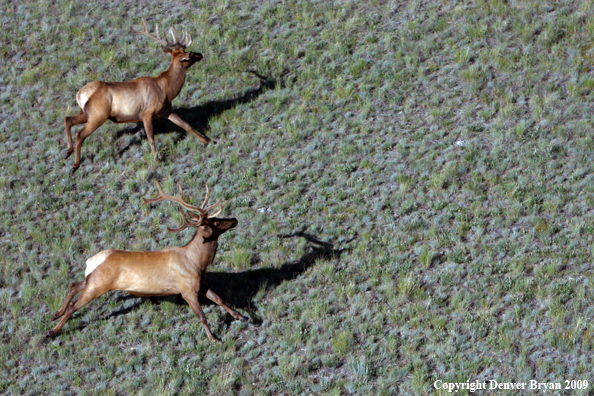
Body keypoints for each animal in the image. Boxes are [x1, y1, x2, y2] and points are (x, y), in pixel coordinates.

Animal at [46, 181, 247, 342]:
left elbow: (220, 299)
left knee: (74, 284)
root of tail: (90, 261)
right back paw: (52, 331)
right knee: (74, 305)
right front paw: (214, 338)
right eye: (216, 222)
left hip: (93, 281)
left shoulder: (200, 284)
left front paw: (241, 316)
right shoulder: (187, 290)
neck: (197, 261)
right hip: (98, 285)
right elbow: (201, 316)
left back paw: (57, 313)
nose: (234, 219)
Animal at [62, 17, 209, 172]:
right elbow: (151, 137)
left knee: (68, 119)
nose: (200, 54)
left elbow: (186, 125)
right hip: (98, 115)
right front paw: (157, 158)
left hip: (86, 113)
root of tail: (80, 94)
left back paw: (68, 151)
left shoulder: (166, 111)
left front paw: (207, 140)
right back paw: (75, 165)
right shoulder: (146, 113)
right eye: (189, 54)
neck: (167, 90)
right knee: (80, 134)